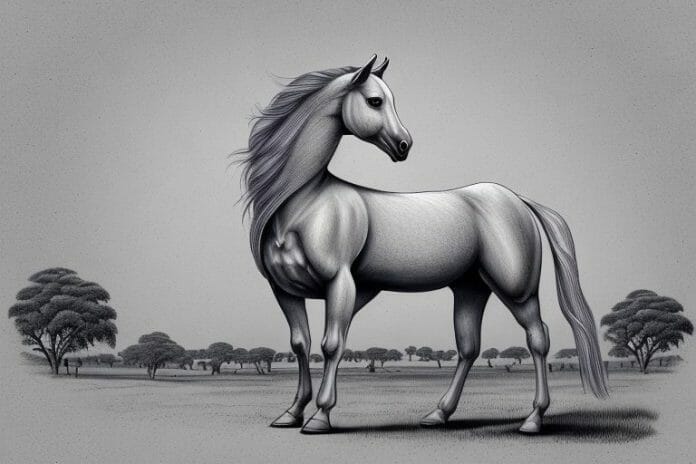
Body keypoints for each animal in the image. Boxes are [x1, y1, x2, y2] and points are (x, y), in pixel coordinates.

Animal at [236, 55, 609, 435]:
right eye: (375, 101)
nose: (404, 145)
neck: (306, 205)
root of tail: (516, 199)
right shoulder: (285, 292)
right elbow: (300, 345)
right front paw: (291, 412)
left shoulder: (340, 285)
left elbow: (331, 345)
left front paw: (319, 417)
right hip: (471, 289)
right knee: (468, 348)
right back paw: (438, 414)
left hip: (518, 292)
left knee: (538, 338)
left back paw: (533, 419)